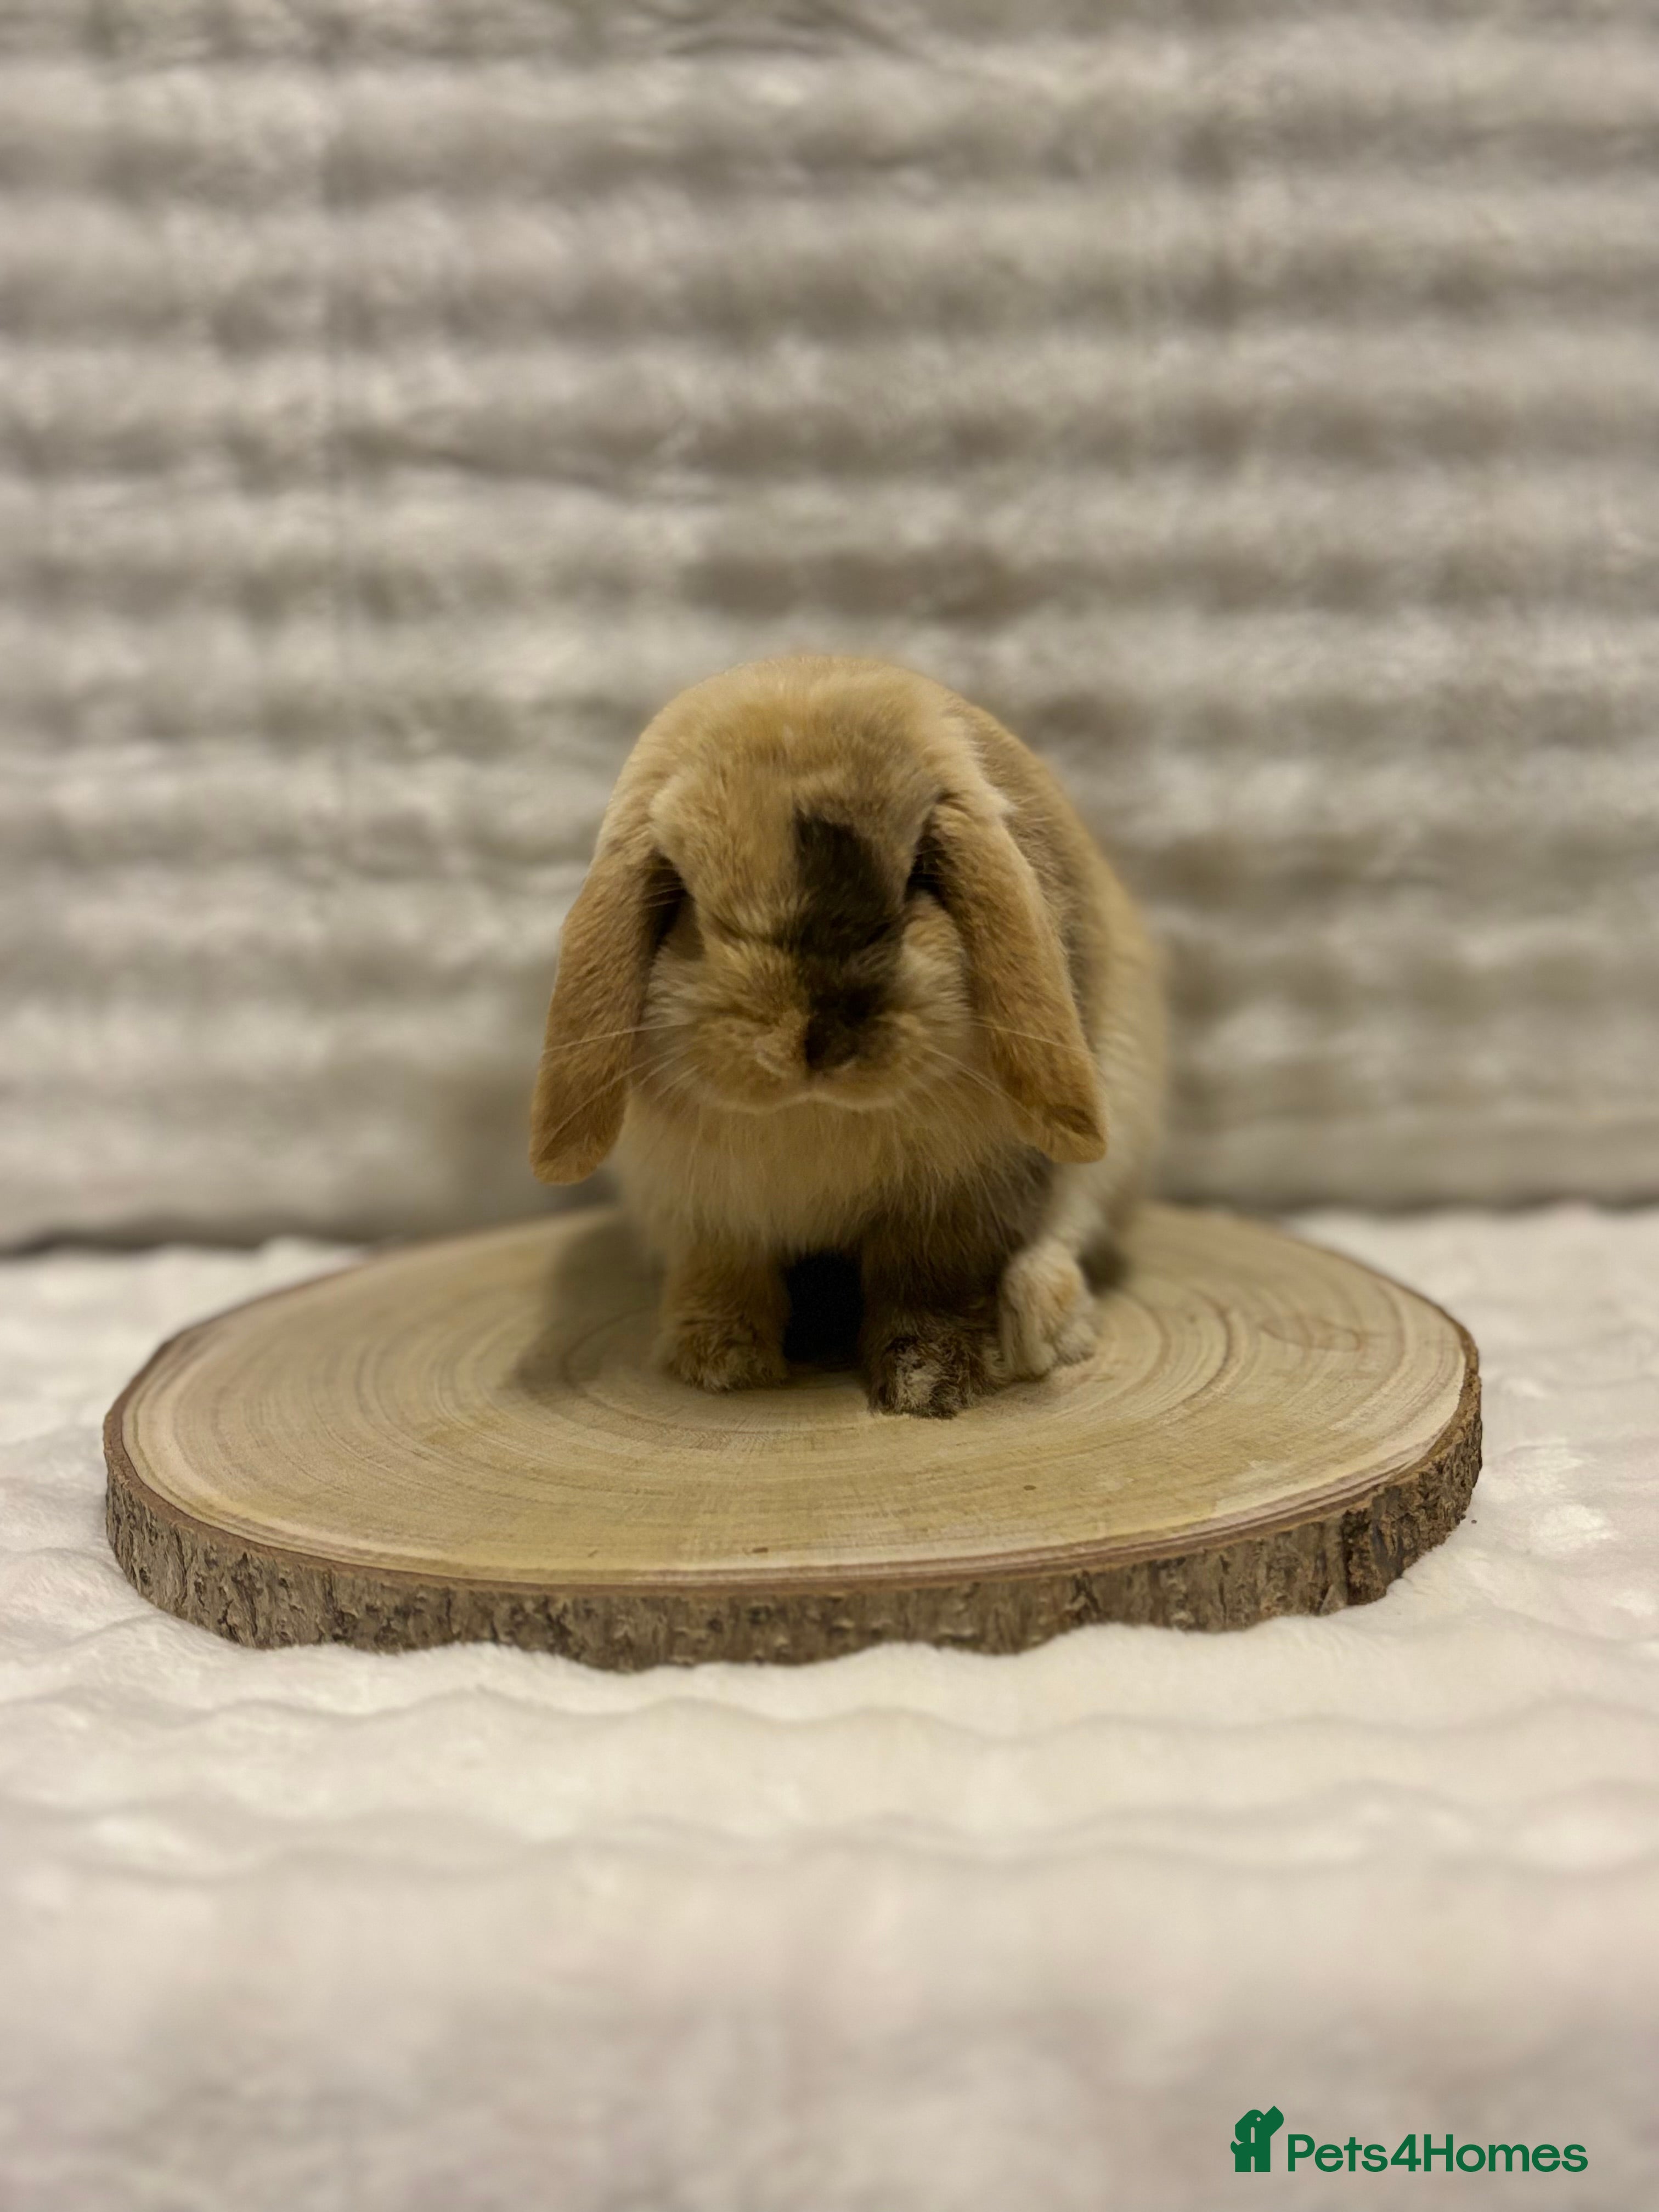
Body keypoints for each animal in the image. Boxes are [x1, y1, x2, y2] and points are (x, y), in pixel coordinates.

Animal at [529, 653, 1166, 1418]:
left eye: (918, 875)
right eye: (687, 898)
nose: (819, 1039)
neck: (818, 1117)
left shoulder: (952, 1206)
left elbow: (926, 1283)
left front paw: (931, 1382)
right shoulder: (706, 1214)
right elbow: (723, 1273)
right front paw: (722, 1363)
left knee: (1063, 1239)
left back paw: (1043, 1326)